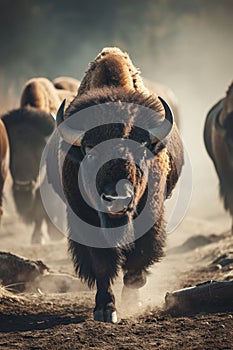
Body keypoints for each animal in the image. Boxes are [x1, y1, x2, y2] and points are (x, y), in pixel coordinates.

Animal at [1, 77, 76, 243]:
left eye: (40, 148)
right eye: (12, 150)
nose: (23, 185)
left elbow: (41, 207)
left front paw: (44, 236)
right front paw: (37, 237)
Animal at [50, 46, 184, 322]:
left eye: (141, 149)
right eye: (90, 150)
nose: (117, 200)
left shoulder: (151, 213)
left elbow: (138, 257)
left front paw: (133, 297)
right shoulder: (85, 218)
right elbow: (103, 265)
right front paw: (106, 310)